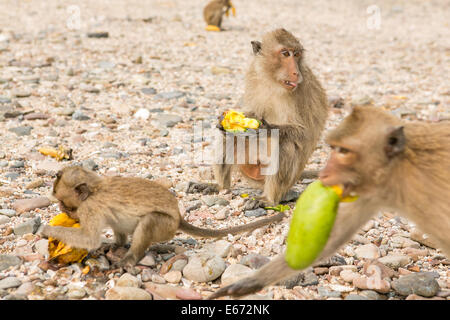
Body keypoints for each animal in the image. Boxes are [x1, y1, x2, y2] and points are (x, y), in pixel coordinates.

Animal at [210, 106, 450, 298]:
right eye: (334, 148)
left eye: (344, 151)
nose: (324, 173)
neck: (397, 169)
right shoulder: (369, 190)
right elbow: (331, 239)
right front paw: (246, 284)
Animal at [214, 28, 326, 206]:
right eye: (285, 53)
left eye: (297, 54)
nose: (296, 72)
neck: (274, 82)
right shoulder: (254, 75)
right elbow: (251, 112)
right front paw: (225, 120)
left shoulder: (301, 91)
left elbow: (303, 133)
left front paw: (265, 129)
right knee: (228, 138)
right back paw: (222, 189)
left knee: (286, 145)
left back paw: (268, 199)